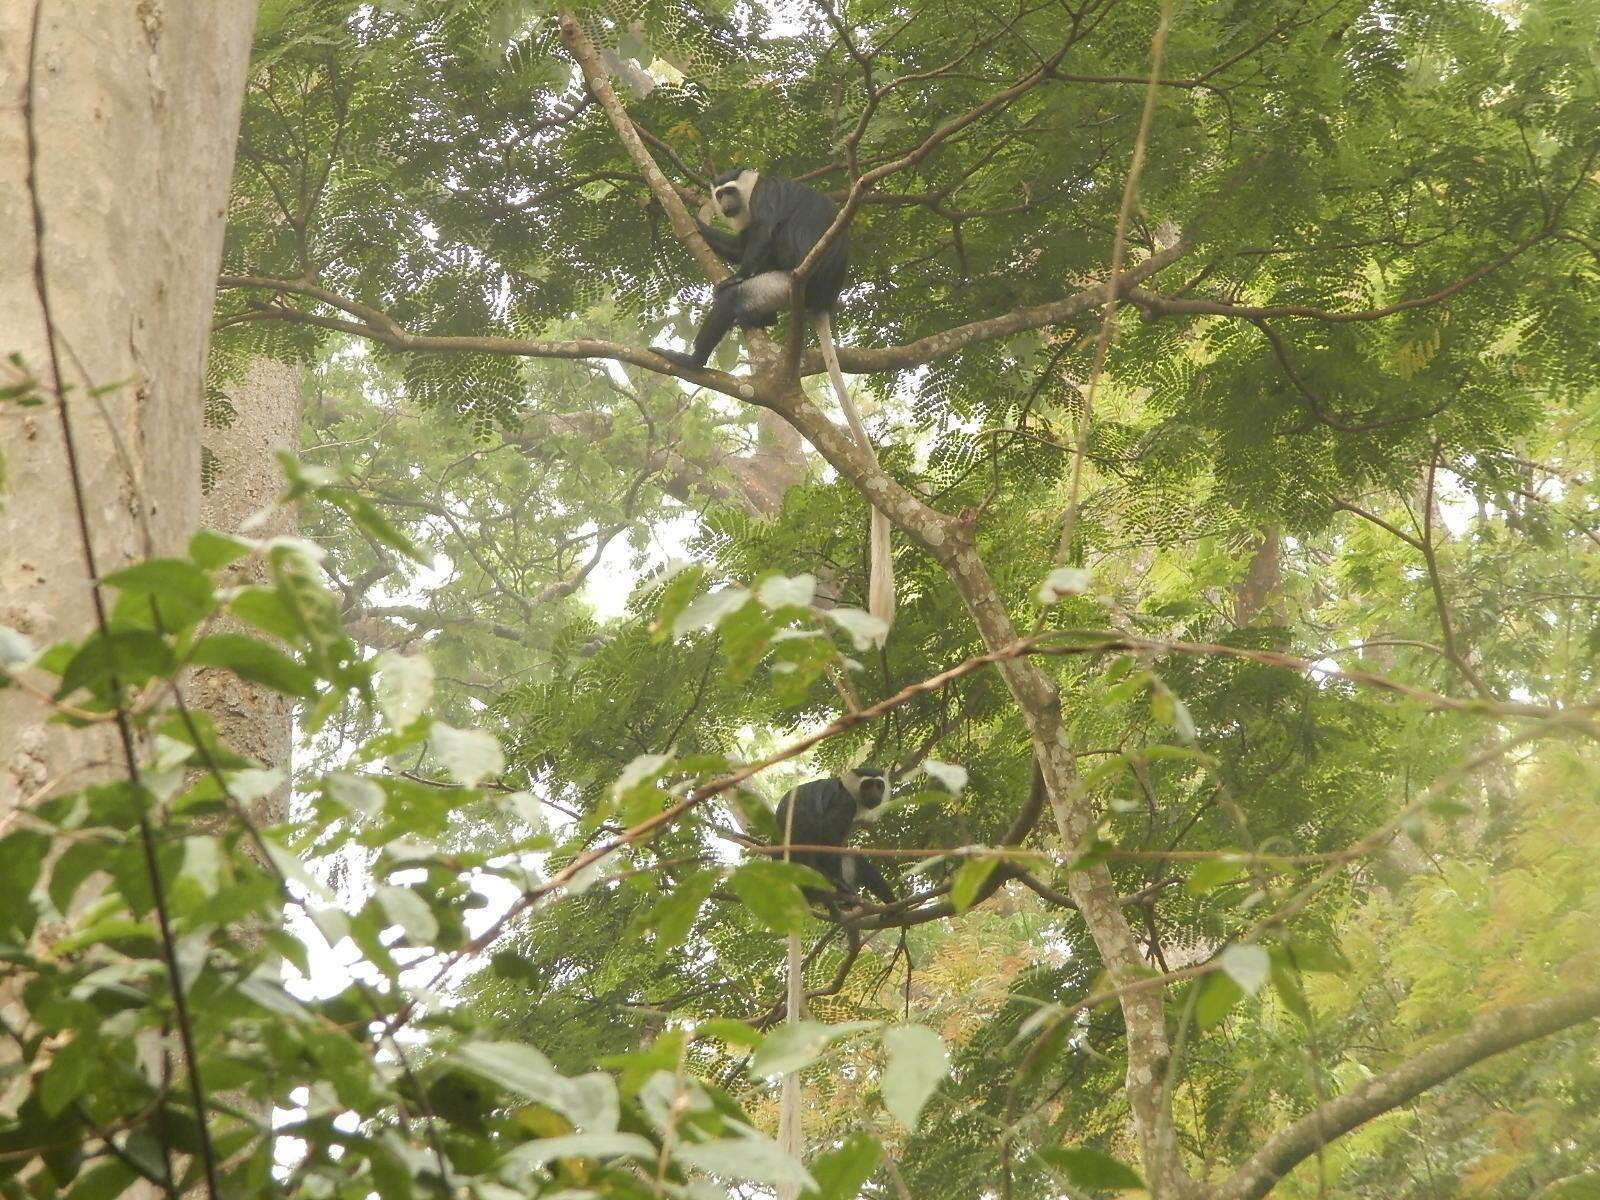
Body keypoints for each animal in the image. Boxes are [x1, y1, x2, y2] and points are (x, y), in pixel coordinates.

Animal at [652, 171, 896, 630]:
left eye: (729, 191)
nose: (725, 204)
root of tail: (822, 299)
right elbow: (737, 243)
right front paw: (661, 204)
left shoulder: (766, 197)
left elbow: (762, 234)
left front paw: (733, 276)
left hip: (783, 284)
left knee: (742, 292)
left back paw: (692, 359)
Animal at [777, 764, 902, 908]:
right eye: (867, 785)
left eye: (879, 785)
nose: (875, 794)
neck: (846, 788)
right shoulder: (845, 803)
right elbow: (829, 835)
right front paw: (840, 883)